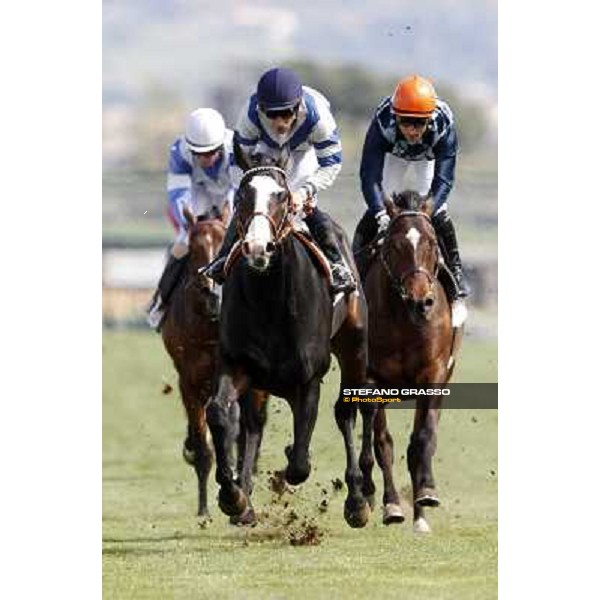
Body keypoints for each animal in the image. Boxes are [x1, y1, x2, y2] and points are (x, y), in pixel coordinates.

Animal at [206, 161, 376, 528]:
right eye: (242, 196)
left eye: (282, 196)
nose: (258, 248)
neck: (270, 299)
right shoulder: (236, 363)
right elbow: (219, 412)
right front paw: (232, 495)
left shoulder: (309, 378)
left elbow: (299, 464)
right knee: (253, 423)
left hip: (354, 346)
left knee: (349, 409)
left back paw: (358, 500)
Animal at [356, 190, 468, 532]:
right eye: (394, 245)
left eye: (432, 243)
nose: (421, 301)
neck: (405, 318)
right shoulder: (372, 378)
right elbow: (383, 443)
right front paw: (391, 505)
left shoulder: (433, 375)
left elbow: (422, 439)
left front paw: (427, 495)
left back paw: (420, 512)